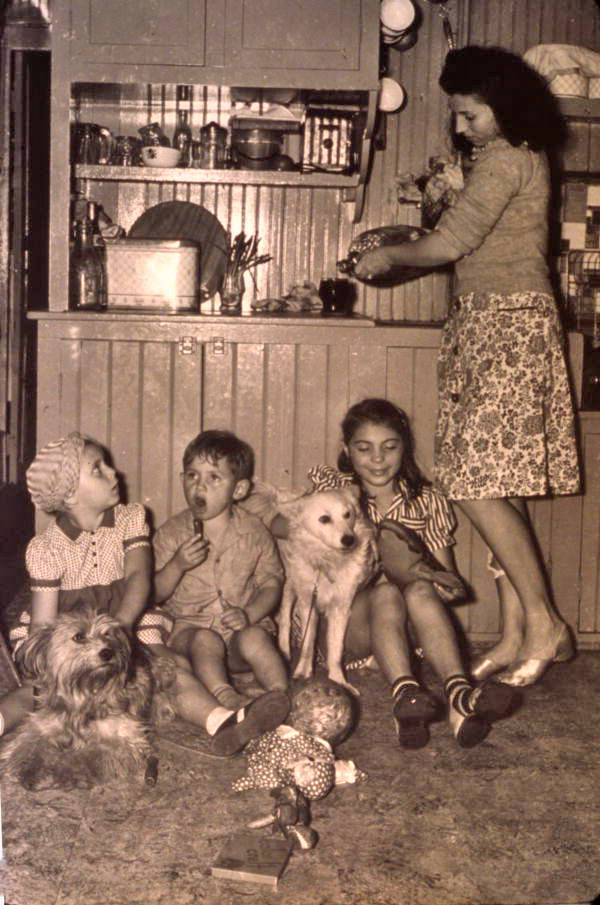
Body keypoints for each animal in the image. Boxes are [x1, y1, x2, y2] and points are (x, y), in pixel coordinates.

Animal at [276, 488, 376, 692]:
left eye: (348, 514)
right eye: (324, 519)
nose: (349, 540)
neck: (327, 562)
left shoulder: (341, 609)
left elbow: (336, 650)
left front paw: (339, 681)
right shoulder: (308, 604)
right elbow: (307, 645)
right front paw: (303, 672)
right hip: (291, 584)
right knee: (284, 618)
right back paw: (284, 650)